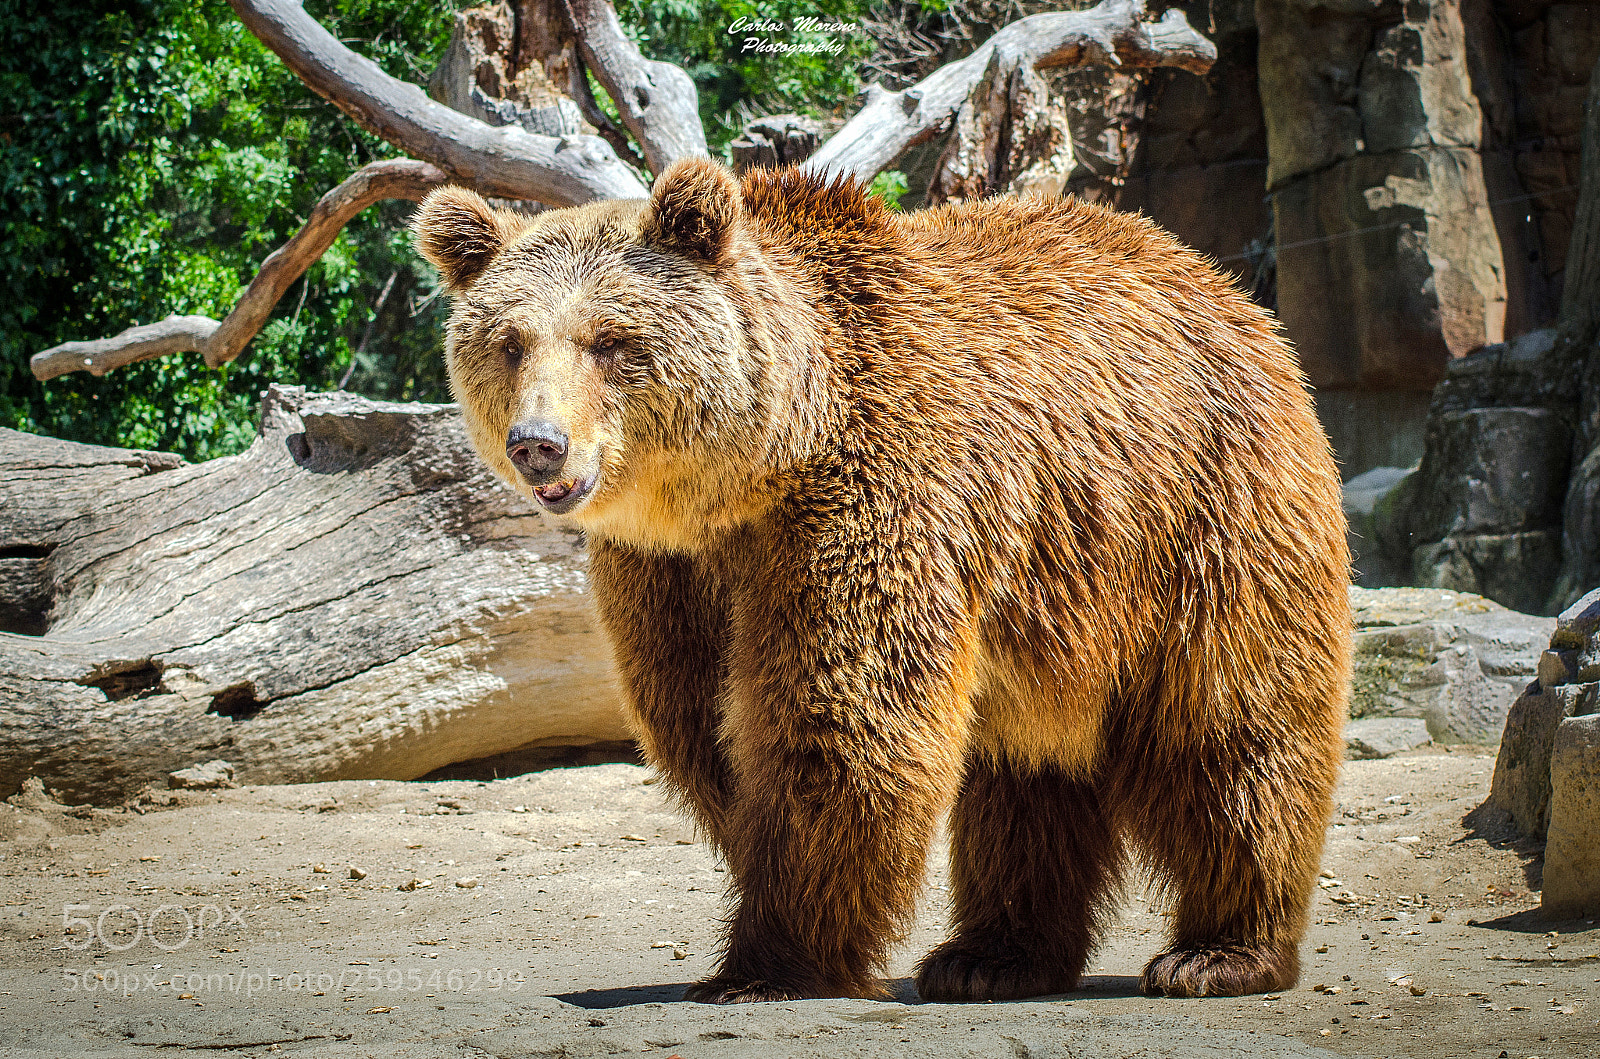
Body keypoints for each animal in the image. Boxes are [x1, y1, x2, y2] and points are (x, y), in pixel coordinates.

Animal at [412, 158, 1351, 1004]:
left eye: (611, 339)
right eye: (510, 343)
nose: (540, 443)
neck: (754, 470)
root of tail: (1225, 287)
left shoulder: (869, 494)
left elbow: (840, 718)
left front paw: (765, 964)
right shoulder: (671, 575)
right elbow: (702, 727)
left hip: (1205, 515)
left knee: (1230, 727)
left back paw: (1218, 952)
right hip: (1059, 595)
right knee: (1025, 767)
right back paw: (993, 957)